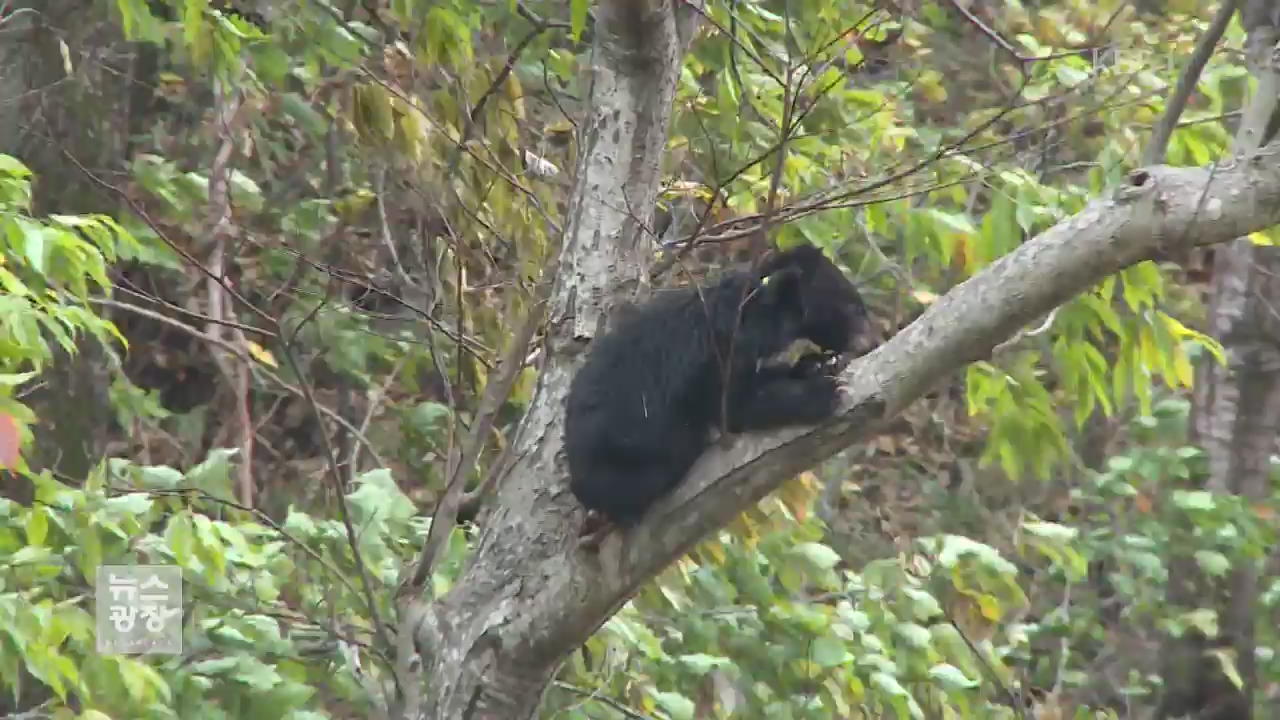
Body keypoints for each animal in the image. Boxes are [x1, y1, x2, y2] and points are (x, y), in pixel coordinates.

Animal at [568, 243, 875, 525]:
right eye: (855, 308)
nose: (871, 340)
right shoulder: (723, 348)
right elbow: (733, 404)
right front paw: (824, 392)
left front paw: (817, 364)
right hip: (626, 462)